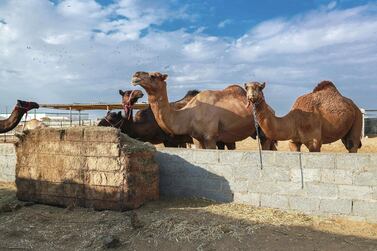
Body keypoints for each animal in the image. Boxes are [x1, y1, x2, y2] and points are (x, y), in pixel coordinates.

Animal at [130, 71, 276, 149]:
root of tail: (272, 109)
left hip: (264, 131)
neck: (188, 115)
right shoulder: (196, 138)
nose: (135, 75)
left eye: (153, 76)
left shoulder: (210, 137)